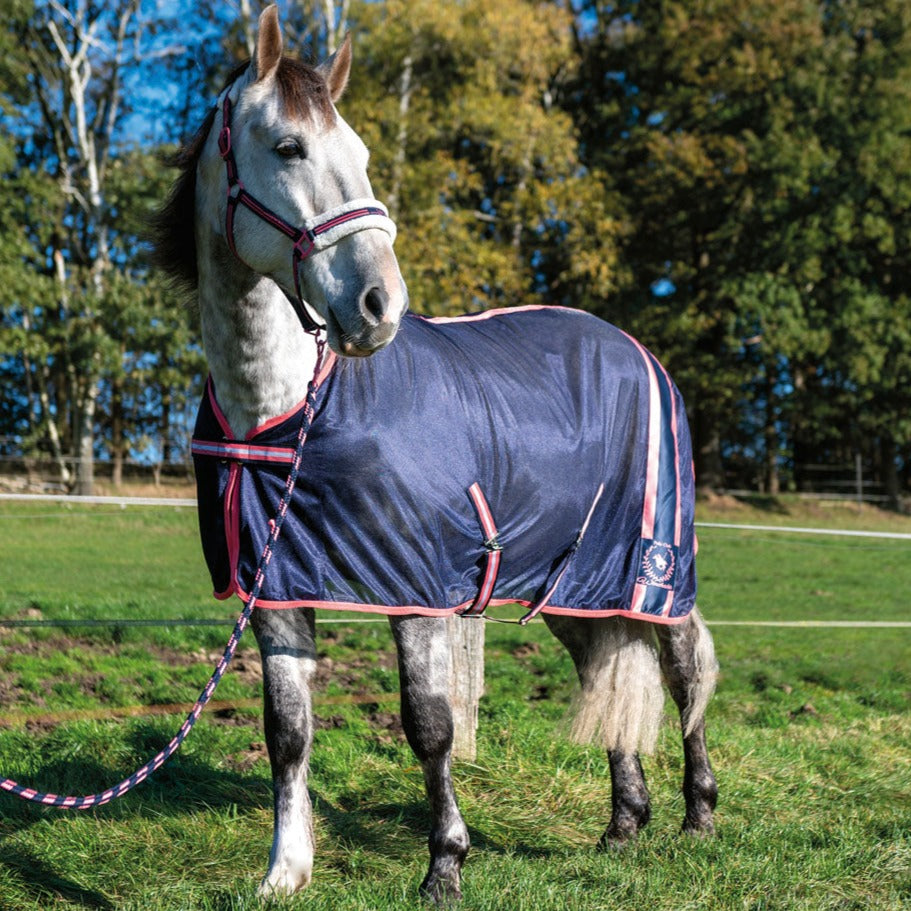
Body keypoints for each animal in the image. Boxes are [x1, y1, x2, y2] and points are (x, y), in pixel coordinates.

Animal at [152, 6, 718, 903]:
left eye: (361, 154)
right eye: (288, 147)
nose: (379, 304)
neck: (288, 412)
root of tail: (635, 350)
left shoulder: (415, 587)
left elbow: (428, 725)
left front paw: (444, 863)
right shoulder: (275, 591)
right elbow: (287, 732)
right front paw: (285, 869)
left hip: (654, 569)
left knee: (682, 669)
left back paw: (698, 813)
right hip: (575, 582)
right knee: (605, 666)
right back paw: (623, 823)